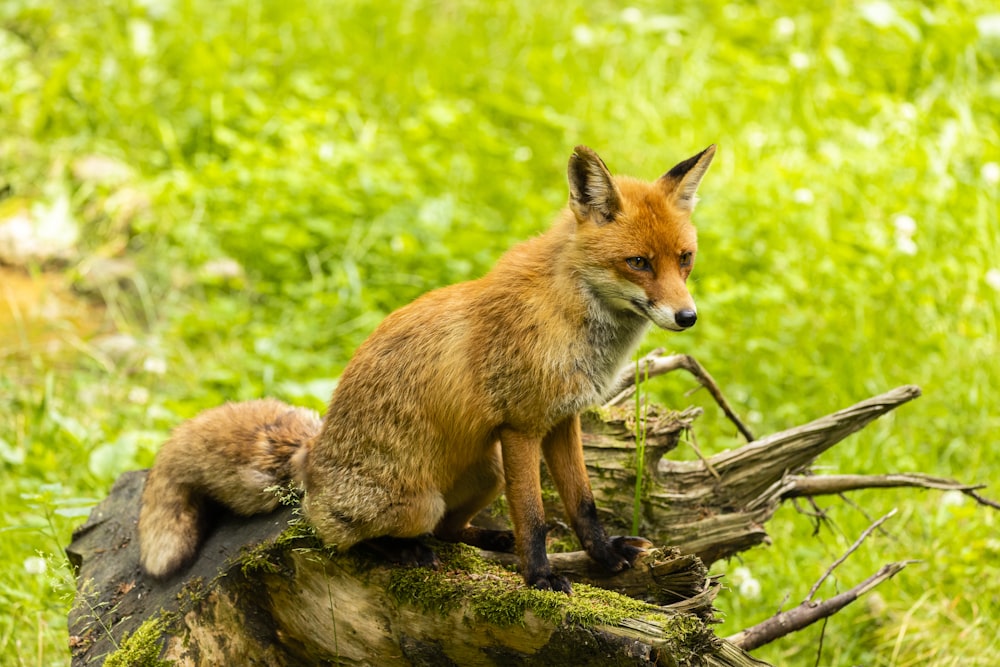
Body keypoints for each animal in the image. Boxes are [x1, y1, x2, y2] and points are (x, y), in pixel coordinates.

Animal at [137, 144, 716, 592]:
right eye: (638, 263)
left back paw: (487, 538)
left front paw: (606, 556)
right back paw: (403, 551)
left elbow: (583, 505)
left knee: (447, 530)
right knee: (344, 539)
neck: (571, 313)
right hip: (420, 500)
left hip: (487, 472)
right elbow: (532, 516)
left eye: (685, 259)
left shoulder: (562, 419)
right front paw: (539, 577)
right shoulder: (521, 426)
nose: (687, 317)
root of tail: (310, 455)